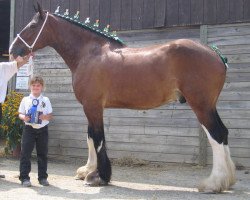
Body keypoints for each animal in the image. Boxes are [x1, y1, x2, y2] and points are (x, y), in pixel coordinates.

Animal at [9, 3, 235, 193]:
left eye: (32, 26)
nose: (12, 51)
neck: (89, 53)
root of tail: (215, 54)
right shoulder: (91, 107)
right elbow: (90, 137)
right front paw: (87, 171)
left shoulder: (92, 106)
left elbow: (98, 138)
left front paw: (99, 176)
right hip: (209, 106)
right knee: (223, 133)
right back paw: (228, 180)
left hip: (201, 105)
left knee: (215, 135)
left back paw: (213, 183)